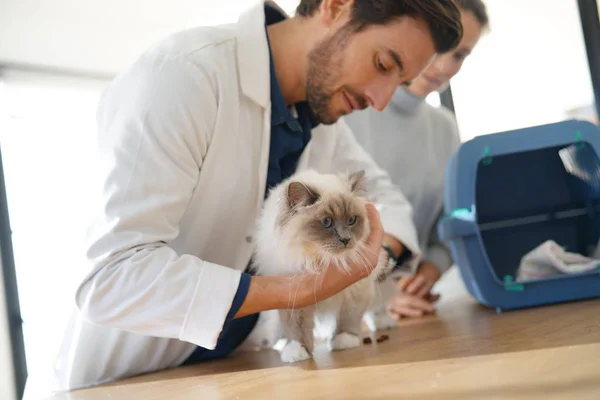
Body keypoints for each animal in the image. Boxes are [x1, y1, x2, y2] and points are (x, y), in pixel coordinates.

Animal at [252, 169, 390, 362]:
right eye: (326, 222)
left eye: (352, 220)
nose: (346, 239)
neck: (323, 258)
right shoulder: (295, 296)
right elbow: (296, 329)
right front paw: (297, 352)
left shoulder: (356, 290)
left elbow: (349, 318)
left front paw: (345, 340)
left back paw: (384, 324)